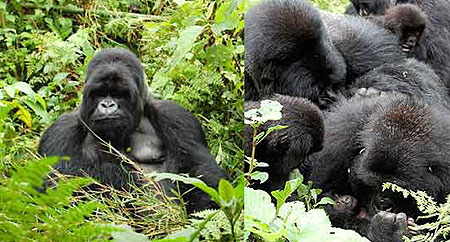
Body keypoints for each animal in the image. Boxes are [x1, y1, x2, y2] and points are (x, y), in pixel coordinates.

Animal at [37, 48, 224, 213]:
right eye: (100, 93)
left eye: (119, 94)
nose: (107, 105)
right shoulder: (60, 131)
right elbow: (53, 186)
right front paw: (118, 176)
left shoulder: (176, 117)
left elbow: (201, 173)